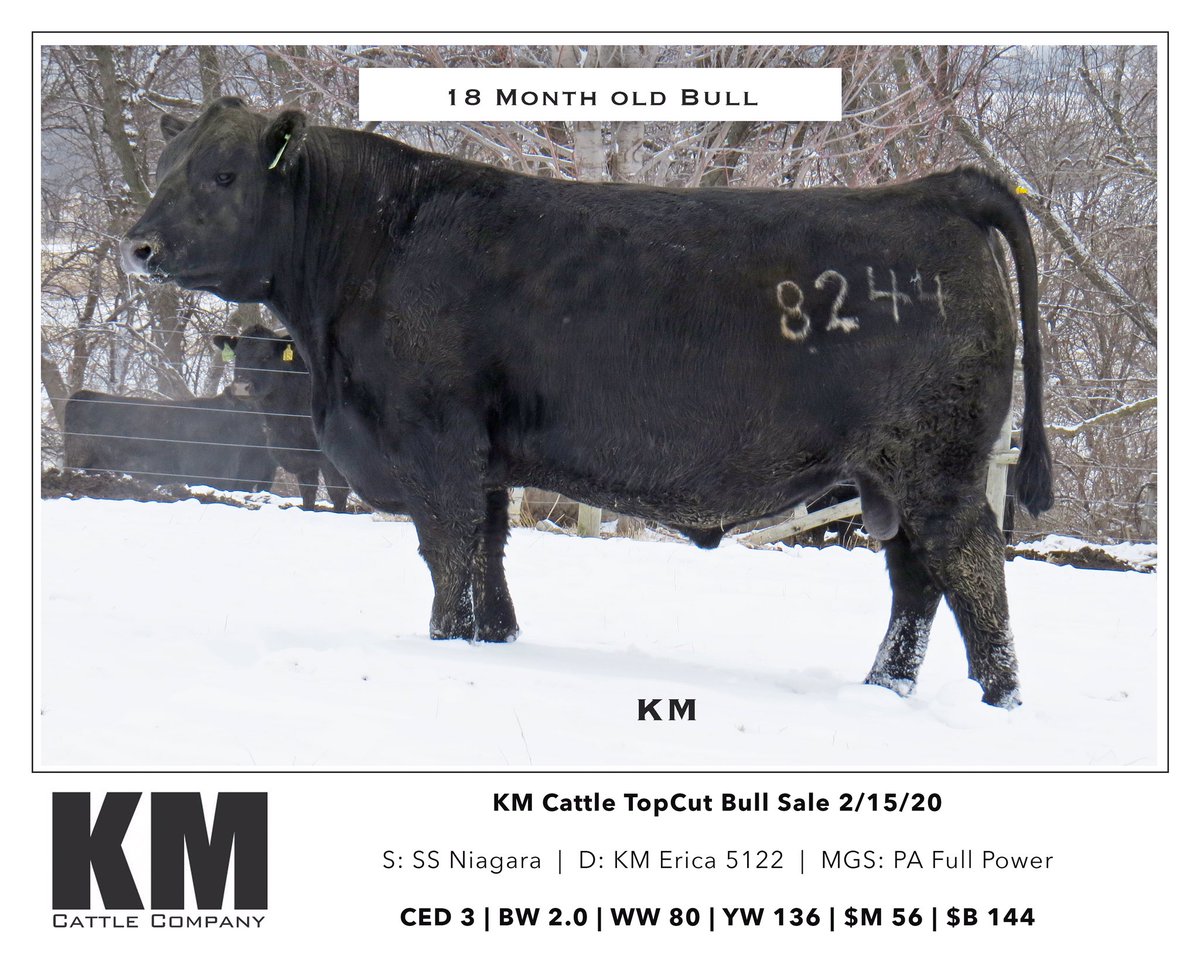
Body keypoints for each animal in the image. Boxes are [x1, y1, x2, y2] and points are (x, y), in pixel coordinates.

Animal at [212, 325, 352, 511]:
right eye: (237, 355)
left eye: (266, 356)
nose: (242, 386)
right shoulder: (303, 458)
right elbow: (307, 491)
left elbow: (337, 492)